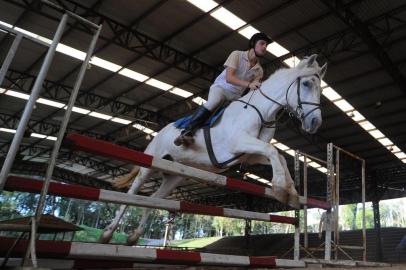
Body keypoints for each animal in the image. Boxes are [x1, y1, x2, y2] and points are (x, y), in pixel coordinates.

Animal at [99, 54, 326, 245]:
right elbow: (271, 150)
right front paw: (280, 188)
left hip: (174, 176)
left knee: (153, 199)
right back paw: (108, 233)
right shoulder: (238, 143)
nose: (315, 123)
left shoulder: (249, 155)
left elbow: (278, 155)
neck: (261, 111)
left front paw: (292, 193)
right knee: (133, 191)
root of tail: (160, 131)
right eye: (306, 83)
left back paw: (134, 237)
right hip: (150, 163)